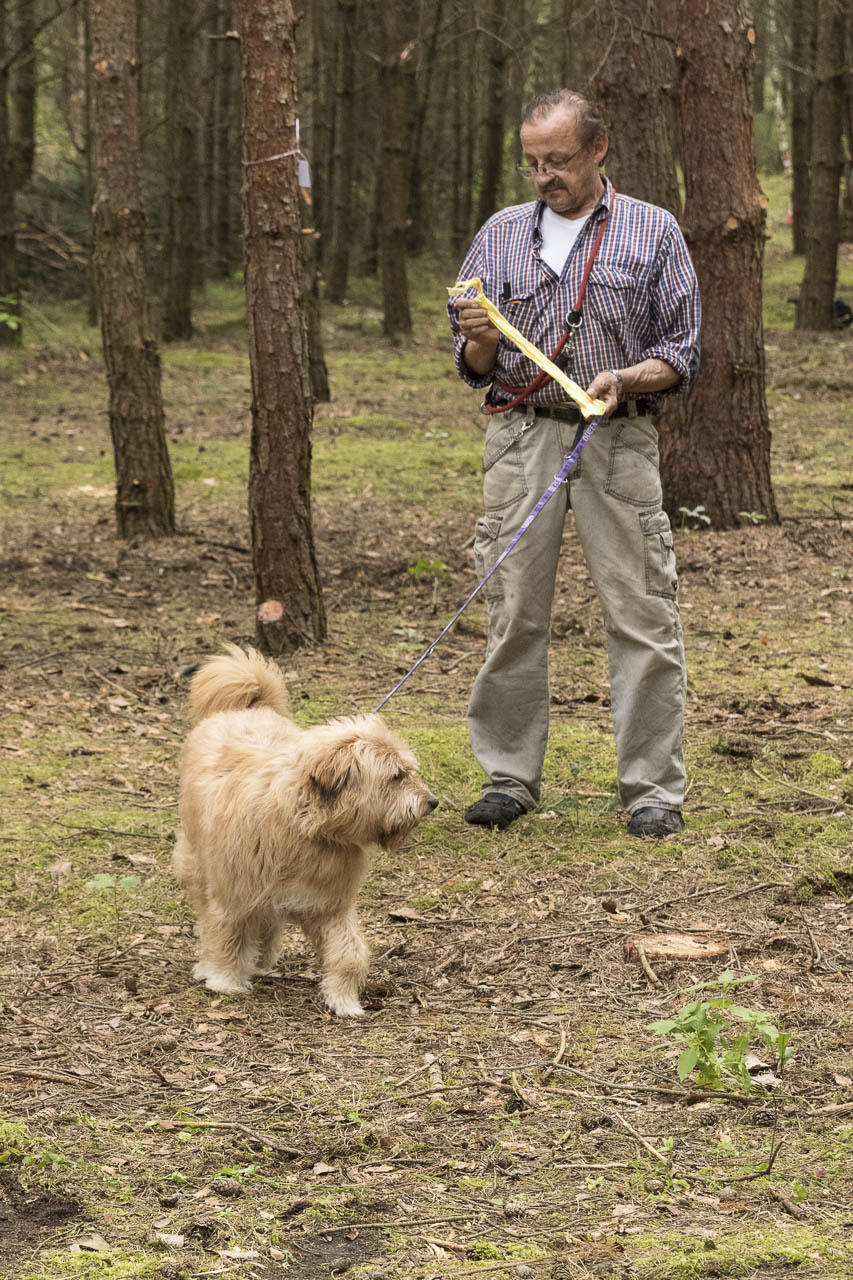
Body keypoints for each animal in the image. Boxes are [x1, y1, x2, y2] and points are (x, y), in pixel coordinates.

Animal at [172, 645, 438, 1016]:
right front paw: (225, 980)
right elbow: (229, 933)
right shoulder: (236, 893)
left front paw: (343, 999)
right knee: (208, 909)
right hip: (196, 859)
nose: (432, 802)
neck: (305, 826)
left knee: (267, 925)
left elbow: (349, 952)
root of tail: (246, 707)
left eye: (406, 771)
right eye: (395, 776)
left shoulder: (328, 904)